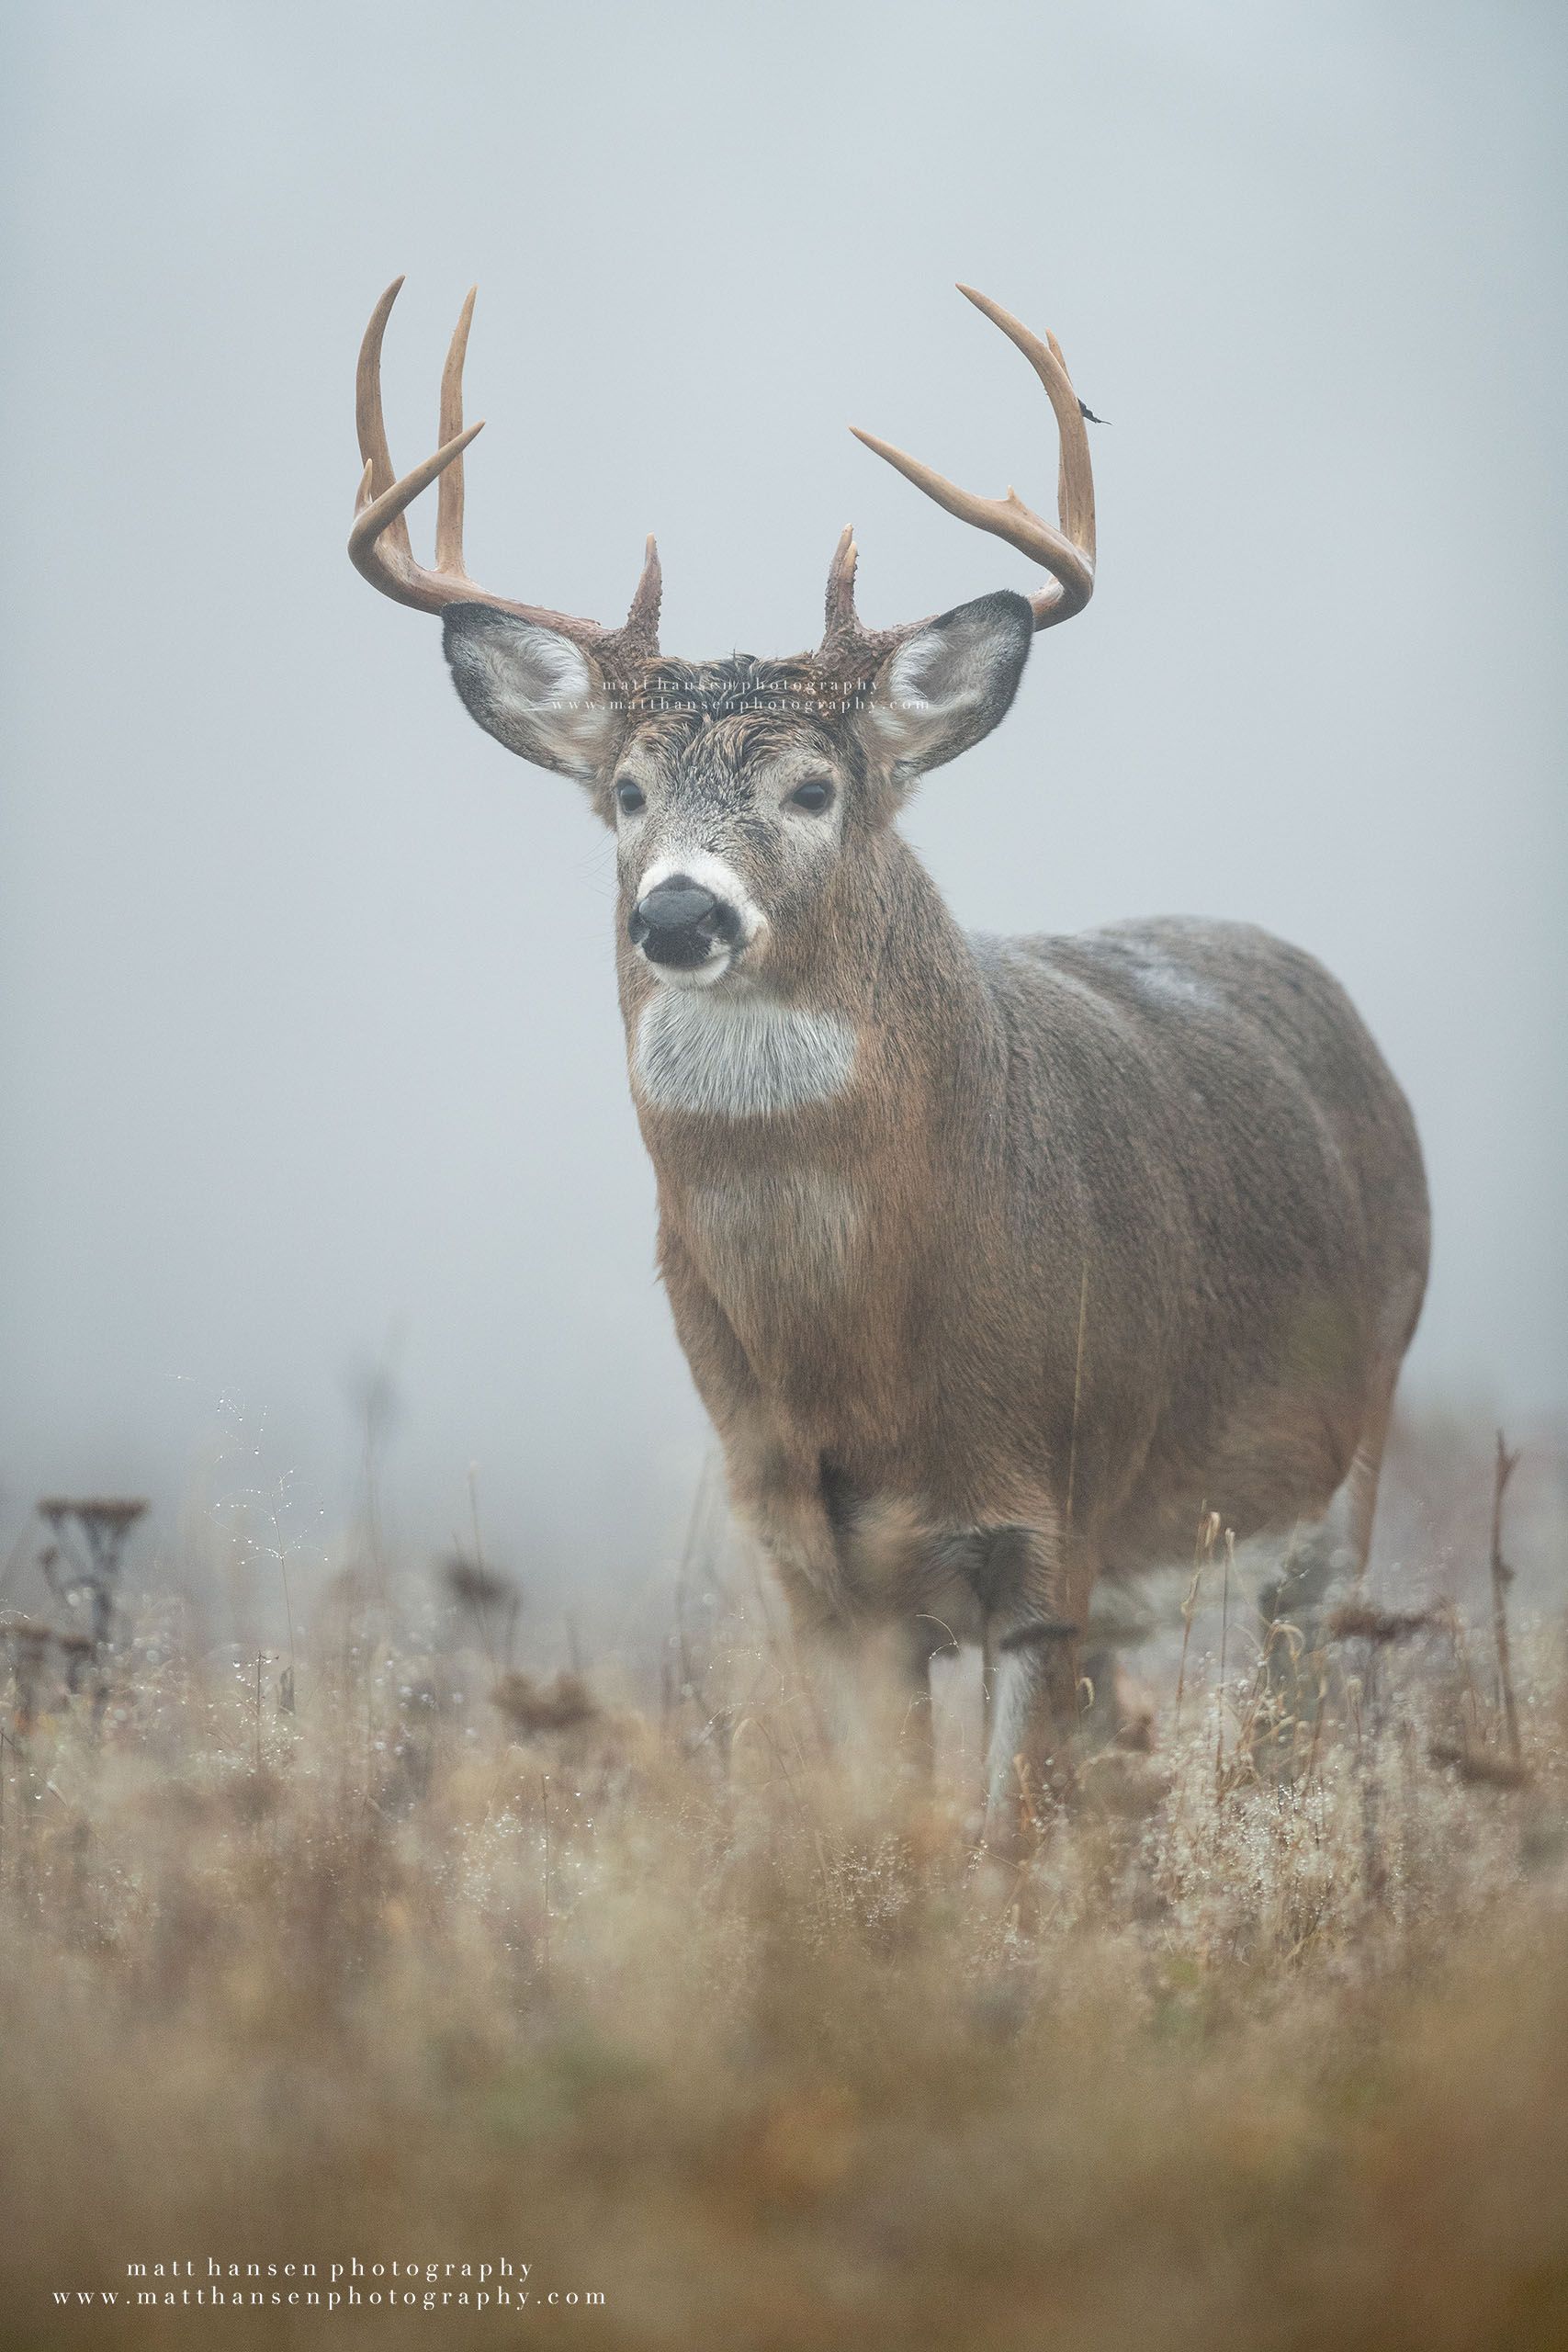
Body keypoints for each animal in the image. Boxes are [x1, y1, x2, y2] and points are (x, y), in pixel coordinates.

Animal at [348, 278, 1430, 1839]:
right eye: (625, 792)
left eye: (812, 787)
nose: (677, 911)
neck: (868, 1356)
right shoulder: (811, 1573)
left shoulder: (1053, 1523)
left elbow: (998, 1849)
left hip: (1345, 1457)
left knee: (1306, 1720)